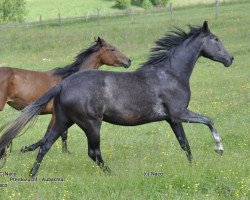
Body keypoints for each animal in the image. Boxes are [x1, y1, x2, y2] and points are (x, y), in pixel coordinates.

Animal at [0, 37, 132, 155]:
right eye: (112, 49)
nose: (129, 61)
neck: (68, 79)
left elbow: (62, 133)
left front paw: (65, 152)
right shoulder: (55, 114)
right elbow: (49, 134)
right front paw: (27, 149)